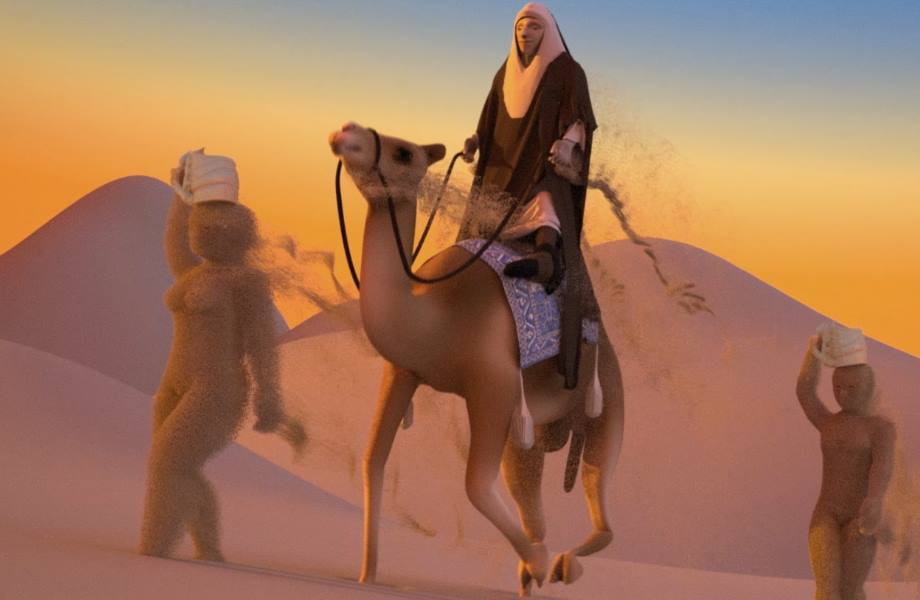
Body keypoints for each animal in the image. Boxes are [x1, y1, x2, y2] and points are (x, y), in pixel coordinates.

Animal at [328, 122, 625, 595]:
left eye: (403, 153)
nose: (345, 131)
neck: (433, 314)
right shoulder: (402, 371)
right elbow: (373, 460)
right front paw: (365, 576)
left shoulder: (493, 384)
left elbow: (474, 485)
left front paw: (539, 562)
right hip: (530, 436)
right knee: (534, 506)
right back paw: (531, 575)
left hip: (606, 402)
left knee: (603, 515)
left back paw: (559, 566)